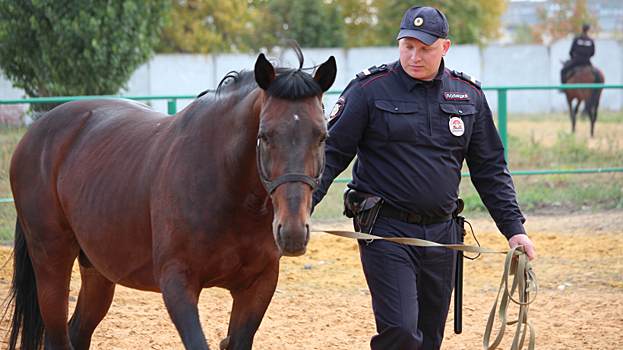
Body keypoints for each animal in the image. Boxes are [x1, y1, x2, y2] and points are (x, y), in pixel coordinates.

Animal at [3, 43, 336, 350]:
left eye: (322, 136)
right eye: (264, 136)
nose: (292, 232)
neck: (229, 189)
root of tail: (37, 130)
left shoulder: (258, 286)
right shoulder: (177, 284)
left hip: (97, 271)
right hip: (51, 265)